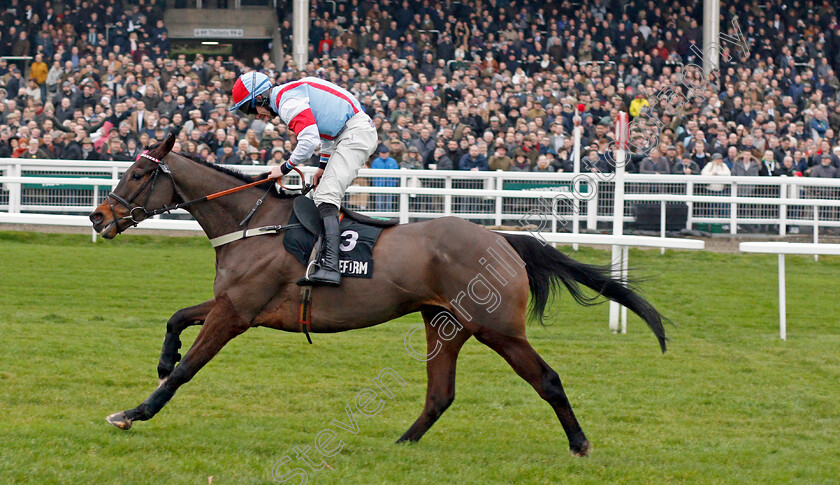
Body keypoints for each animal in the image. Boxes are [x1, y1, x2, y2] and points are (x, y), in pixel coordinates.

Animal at [88, 130, 668, 456]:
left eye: (137, 173)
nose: (97, 216)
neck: (253, 222)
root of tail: (502, 240)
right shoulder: (233, 304)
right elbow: (176, 317)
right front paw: (163, 359)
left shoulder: (237, 313)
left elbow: (187, 371)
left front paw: (133, 412)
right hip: (445, 325)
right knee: (440, 394)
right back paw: (400, 444)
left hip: (499, 329)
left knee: (546, 380)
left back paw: (580, 443)